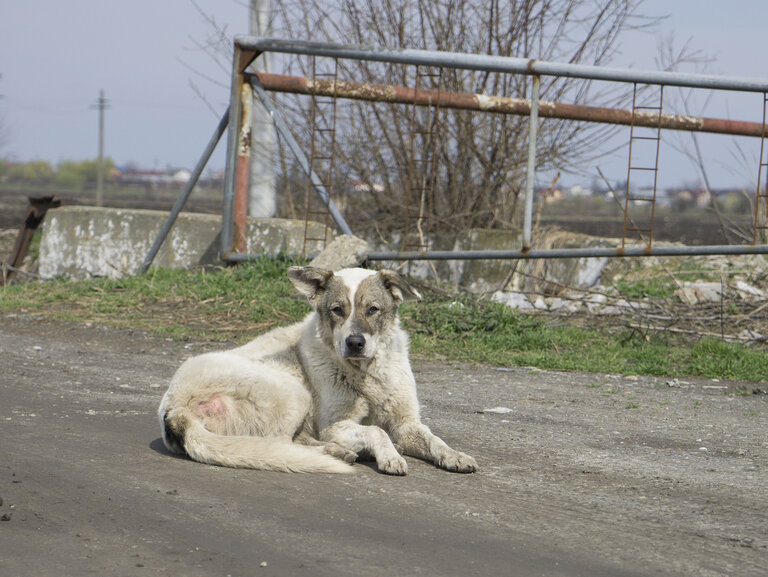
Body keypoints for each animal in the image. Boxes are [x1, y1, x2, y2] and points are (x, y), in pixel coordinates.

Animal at [158, 266, 476, 472]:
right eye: (337, 310)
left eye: (372, 309)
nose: (355, 342)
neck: (365, 373)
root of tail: (175, 410)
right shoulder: (334, 426)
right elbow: (376, 430)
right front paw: (390, 457)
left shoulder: (406, 424)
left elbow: (433, 439)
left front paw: (454, 455)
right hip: (293, 393)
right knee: (280, 444)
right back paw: (333, 452)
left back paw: (338, 452)